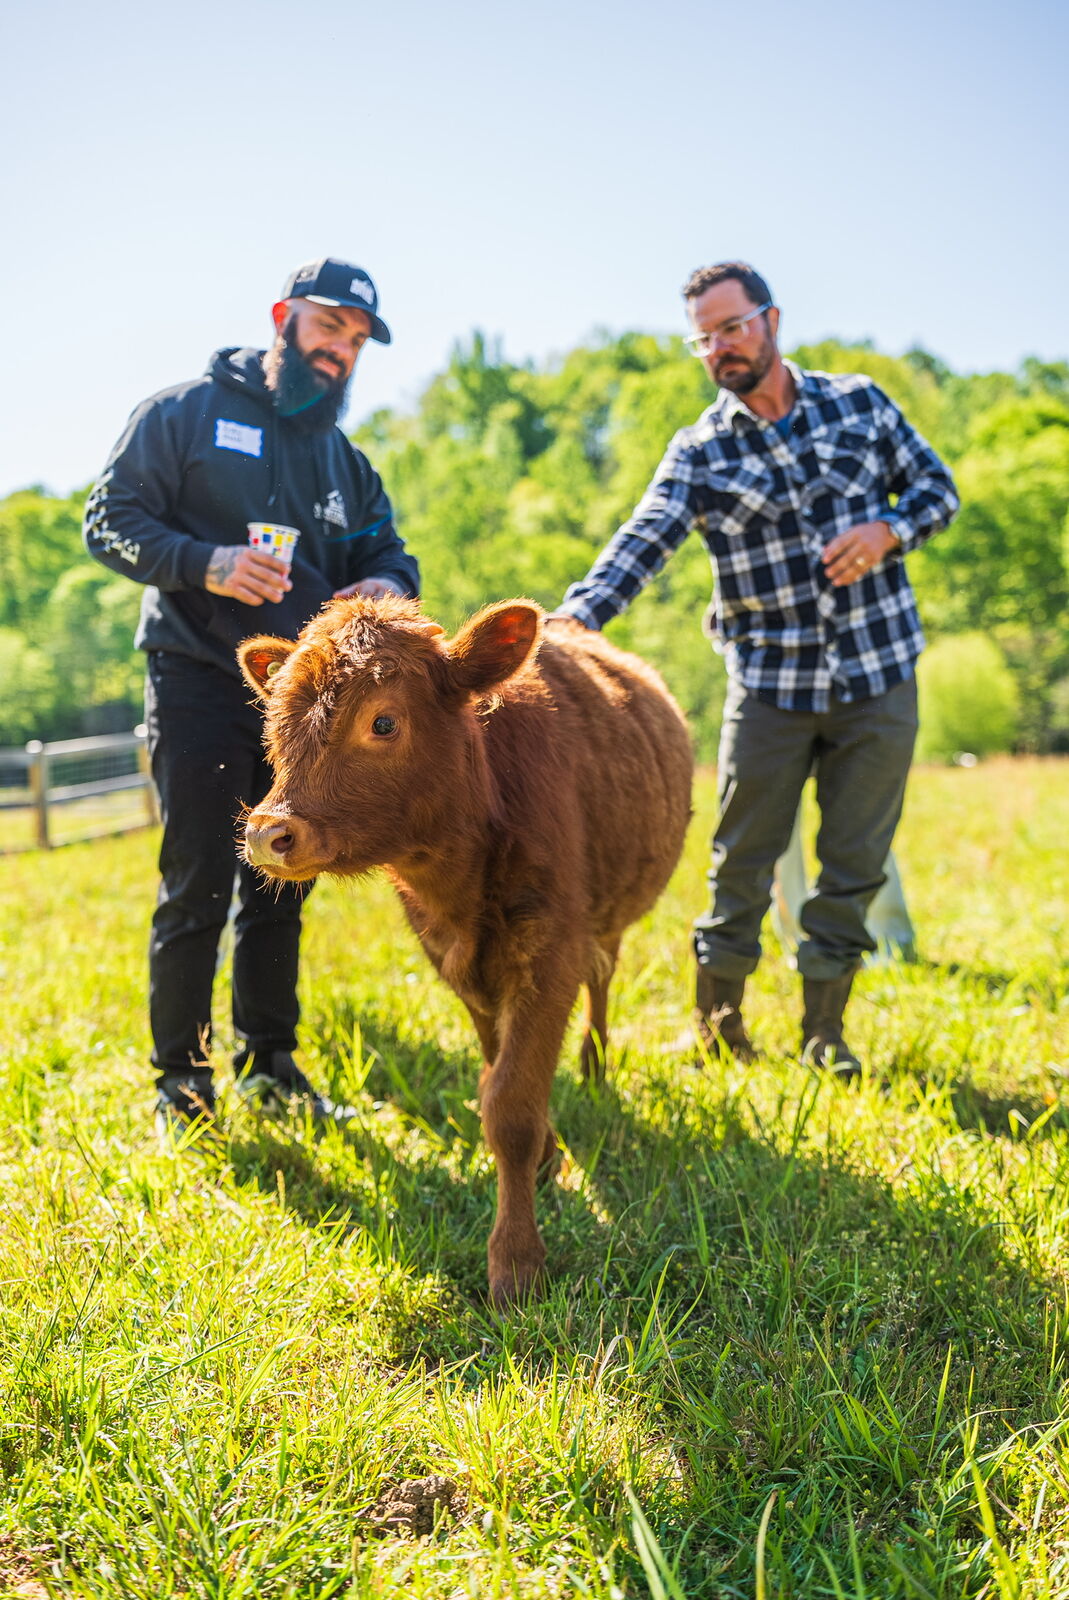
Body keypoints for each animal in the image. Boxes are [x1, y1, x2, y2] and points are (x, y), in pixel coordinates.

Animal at [238, 595, 693, 1306]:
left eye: (384, 721)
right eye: (274, 725)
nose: (267, 834)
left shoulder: (551, 952)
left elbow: (510, 1106)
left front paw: (516, 1261)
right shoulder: (455, 959)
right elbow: (497, 1068)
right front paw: (547, 1160)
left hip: (606, 923)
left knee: (603, 981)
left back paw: (594, 1067)